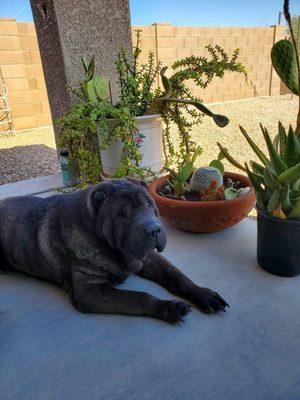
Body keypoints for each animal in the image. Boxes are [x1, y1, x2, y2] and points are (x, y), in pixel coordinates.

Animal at [0, 180, 229, 324]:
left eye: (149, 203)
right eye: (122, 213)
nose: (154, 230)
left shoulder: (148, 258)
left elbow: (176, 275)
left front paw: (203, 294)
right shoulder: (91, 292)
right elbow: (138, 297)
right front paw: (170, 308)